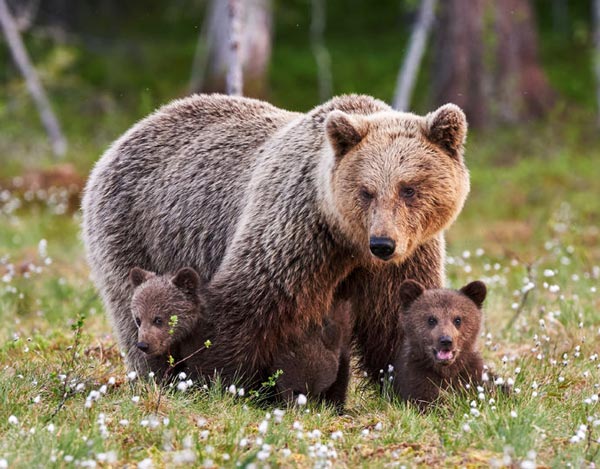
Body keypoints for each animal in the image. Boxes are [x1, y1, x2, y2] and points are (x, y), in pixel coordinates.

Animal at [83, 93, 468, 394]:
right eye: (366, 191)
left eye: (409, 188)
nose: (383, 243)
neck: (346, 241)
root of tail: (127, 133)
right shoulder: (295, 232)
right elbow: (246, 304)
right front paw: (218, 381)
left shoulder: (406, 257)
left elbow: (398, 318)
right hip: (136, 231)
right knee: (138, 308)